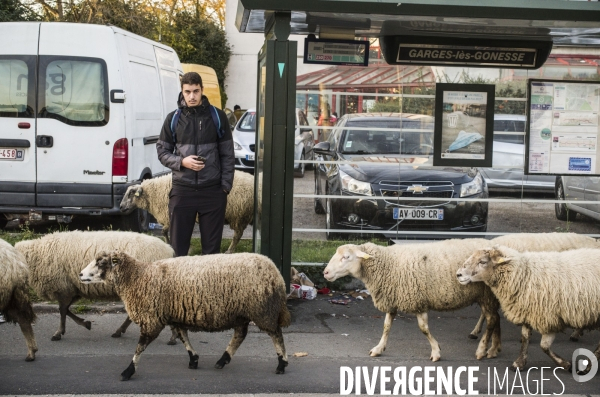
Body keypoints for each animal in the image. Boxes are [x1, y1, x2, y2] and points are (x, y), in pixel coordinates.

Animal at [15, 230, 175, 342]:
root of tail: (168, 249)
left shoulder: (64, 287)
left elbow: (62, 310)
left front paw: (59, 333)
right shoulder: (73, 288)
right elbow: (66, 310)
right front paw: (85, 323)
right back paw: (120, 331)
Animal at [79, 249, 290, 378]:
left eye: (101, 262)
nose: (80, 274)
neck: (138, 277)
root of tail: (275, 271)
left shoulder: (152, 318)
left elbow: (140, 347)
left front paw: (128, 371)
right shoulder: (174, 315)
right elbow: (183, 337)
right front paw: (194, 359)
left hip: (262, 309)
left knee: (276, 334)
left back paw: (282, 364)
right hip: (242, 312)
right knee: (240, 335)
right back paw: (222, 360)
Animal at [120, 171, 254, 254]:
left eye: (130, 193)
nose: (121, 207)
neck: (154, 193)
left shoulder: (169, 215)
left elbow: (164, 231)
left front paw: (170, 244)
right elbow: (166, 231)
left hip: (240, 215)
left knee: (237, 235)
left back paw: (229, 250)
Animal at [458, 244, 600, 372]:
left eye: (482, 261)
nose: (458, 274)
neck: (524, 273)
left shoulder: (548, 316)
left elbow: (544, 346)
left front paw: (565, 364)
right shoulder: (528, 311)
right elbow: (525, 337)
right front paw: (519, 363)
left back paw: (589, 366)